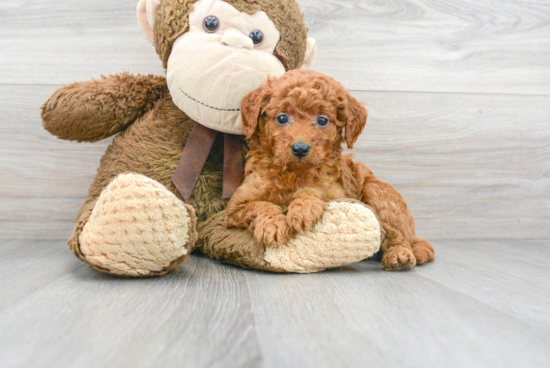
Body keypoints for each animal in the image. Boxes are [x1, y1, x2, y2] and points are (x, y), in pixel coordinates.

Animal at [225, 69, 436, 270]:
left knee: (397, 236)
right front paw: (274, 225)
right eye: (282, 118)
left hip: (377, 192)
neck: (294, 172)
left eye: (322, 120)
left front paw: (303, 208)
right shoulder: (236, 205)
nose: (300, 148)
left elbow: (315, 189)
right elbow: (259, 205)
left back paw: (399, 255)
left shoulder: (339, 193)